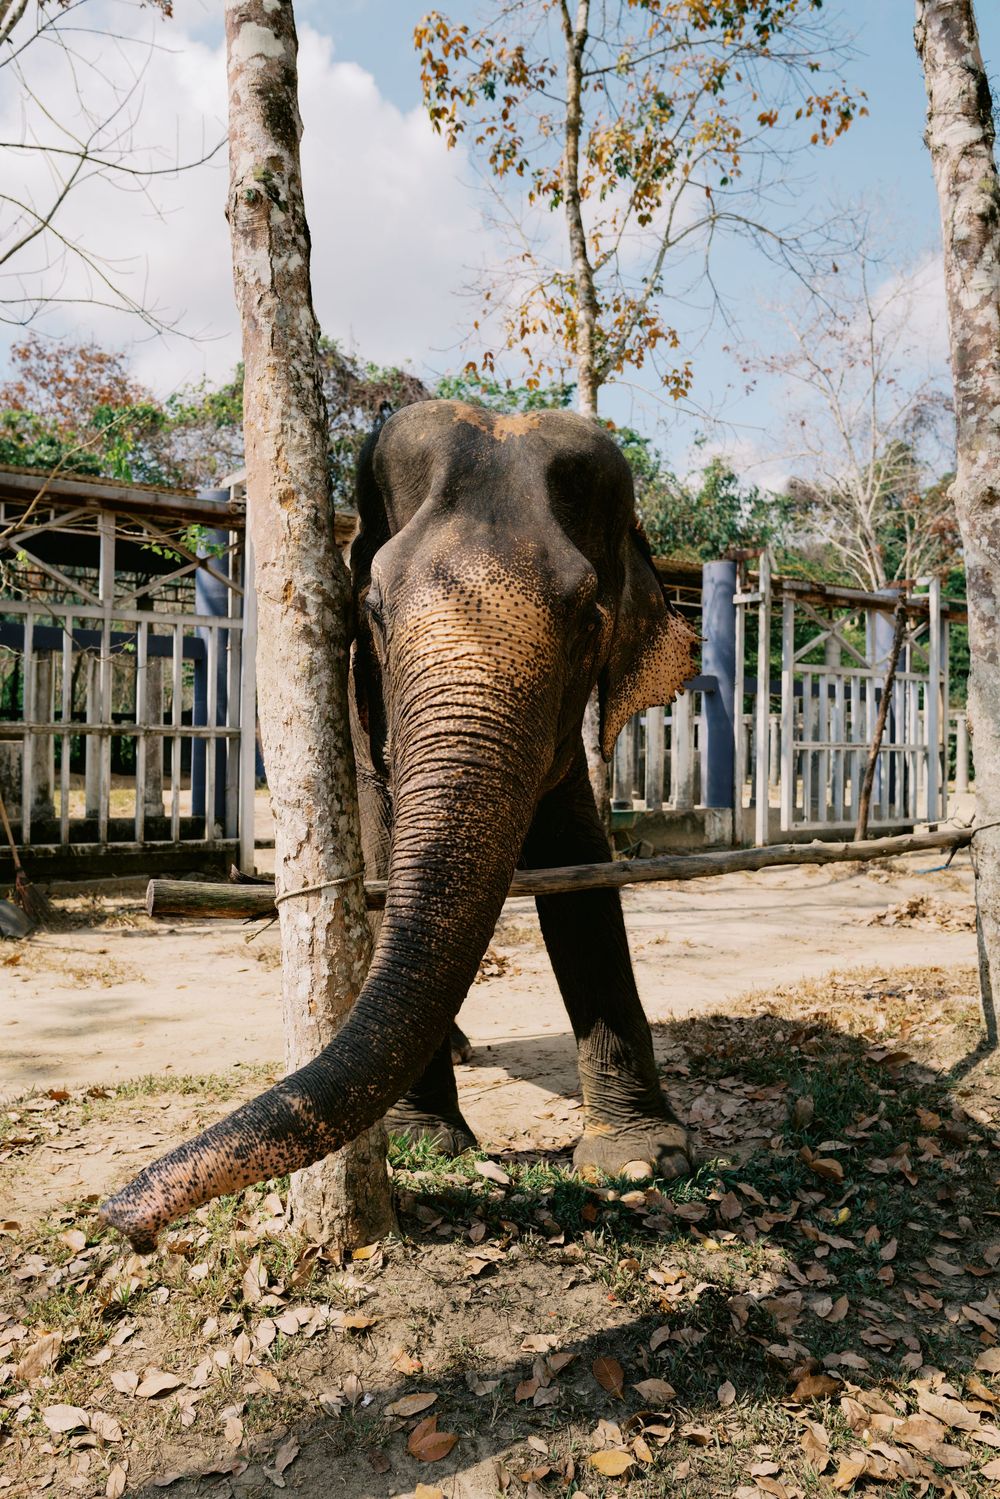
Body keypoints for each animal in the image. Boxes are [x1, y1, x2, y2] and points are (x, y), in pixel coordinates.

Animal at [100, 399, 696, 1252]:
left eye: (590, 617)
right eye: (373, 611)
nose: (126, 1221)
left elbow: (582, 873)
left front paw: (643, 1157)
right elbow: (384, 862)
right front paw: (427, 1142)